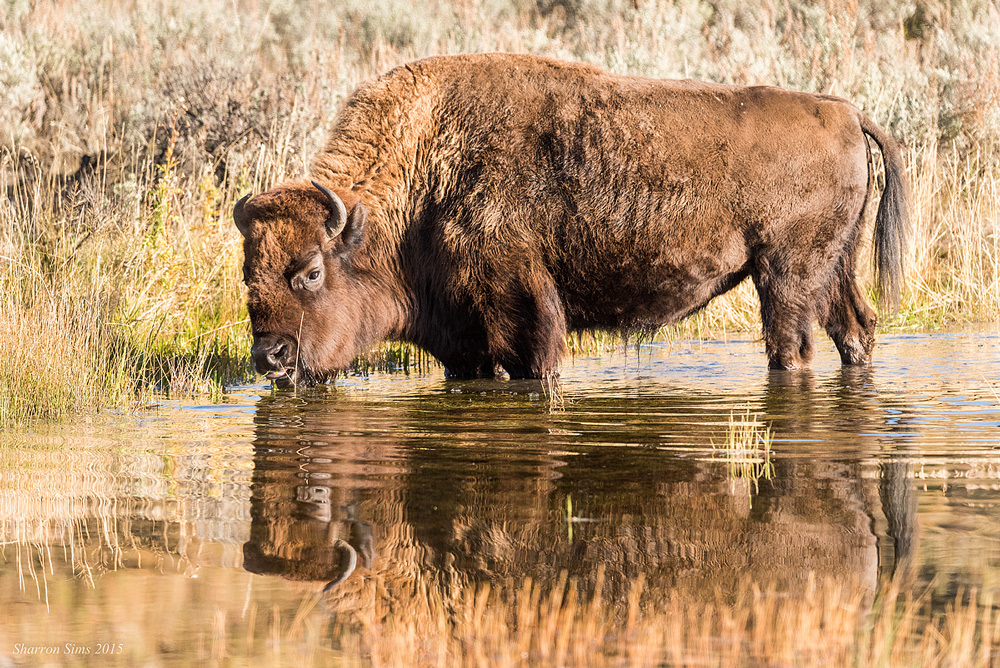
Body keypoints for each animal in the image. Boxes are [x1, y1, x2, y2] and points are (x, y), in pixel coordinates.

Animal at [233, 53, 908, 386]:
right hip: (834, 268)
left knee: (791, 347)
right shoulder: (462, 344)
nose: (270, 356)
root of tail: (845, 112)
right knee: (856, 329)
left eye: (311, 271)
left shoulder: (520, 311)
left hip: (785, 275)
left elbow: (537, 364)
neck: (427, 169)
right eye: (247, 273)